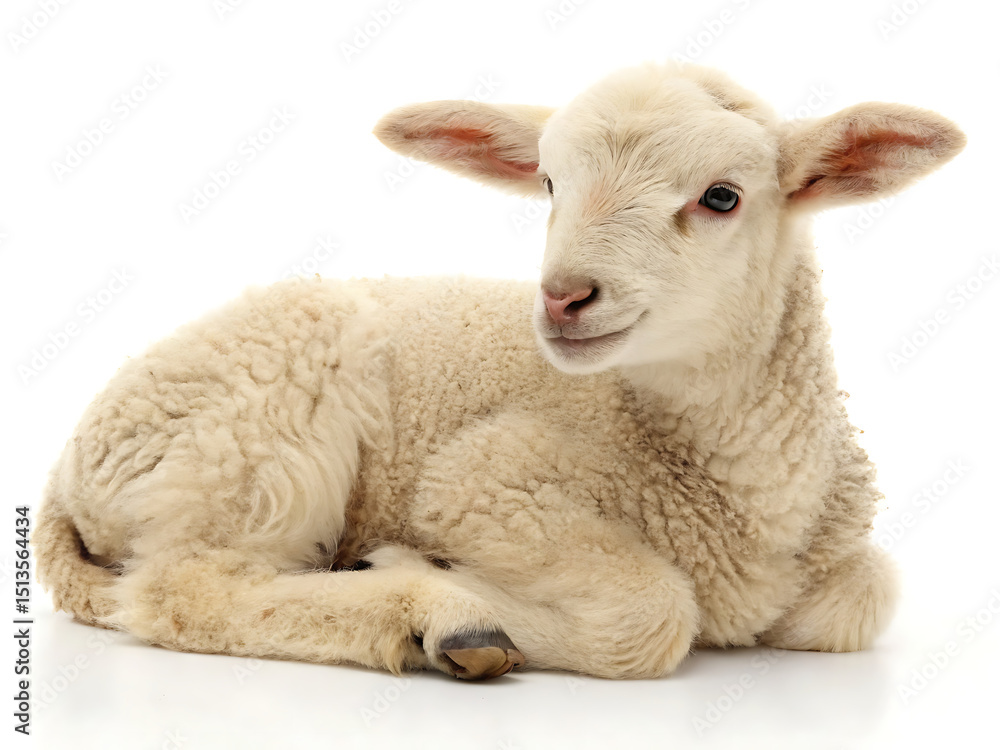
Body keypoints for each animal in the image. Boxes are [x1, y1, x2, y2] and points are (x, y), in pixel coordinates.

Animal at [33, 61, 965, 681]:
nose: (562, 297)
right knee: (184, 589)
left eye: (722, 197)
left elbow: (865, 595)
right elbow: (653, 614)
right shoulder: (485, 479)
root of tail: (67, 473)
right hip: (256, 436)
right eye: (549, 184)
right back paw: (434, 618)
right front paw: (445, 591)